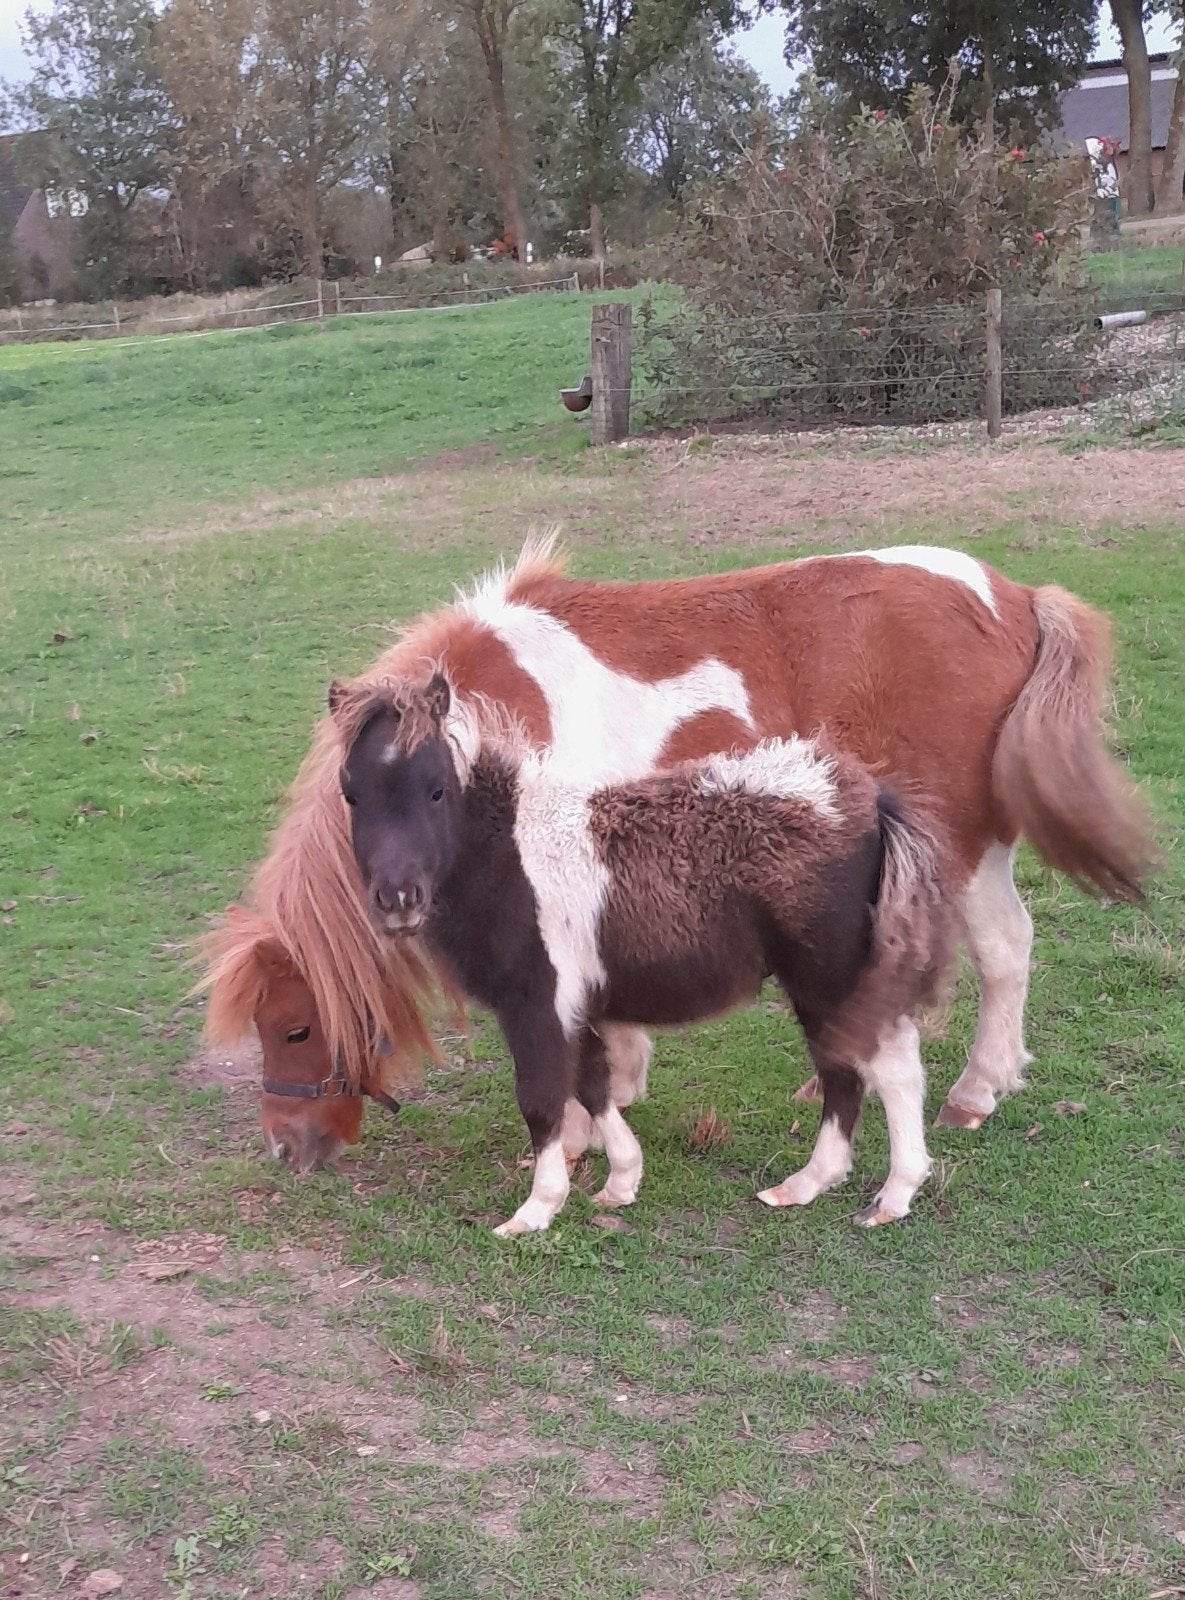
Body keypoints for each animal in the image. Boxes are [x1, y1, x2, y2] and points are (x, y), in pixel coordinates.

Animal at [200, 537, 1151, 1169]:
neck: (479, 726)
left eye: (294, 1027)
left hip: (959, 843)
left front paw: (580, 1127)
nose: (287, 1148)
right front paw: (615, 1095)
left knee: (1003, 947)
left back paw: (974, 1092)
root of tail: (1014, 596)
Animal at [332, 673, 956, 1233]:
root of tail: (867, 798)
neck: (508, 854)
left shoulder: (536, 1001)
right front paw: (621, 1181)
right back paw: (806, 1185)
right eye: (352, 795)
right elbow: (592, 1084)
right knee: (844, 1069)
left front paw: (536, 1210)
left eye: (437, 789)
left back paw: (891, 1197)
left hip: (831, 976)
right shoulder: (575, 1001)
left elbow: (541, 1099)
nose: (398, 900)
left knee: (890, 1070)